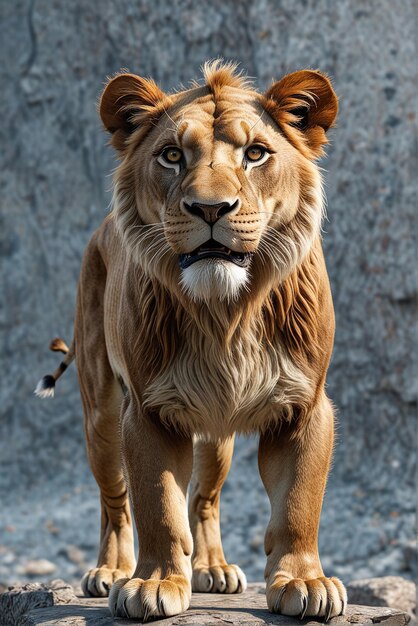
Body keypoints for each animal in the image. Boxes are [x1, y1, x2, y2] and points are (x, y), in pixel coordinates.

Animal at [35, 61, 346, 616]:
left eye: (255, 153)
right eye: (172, 155)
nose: (210, 208)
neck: (225, 313)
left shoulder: (305, 405)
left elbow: (298, 503)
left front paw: (304, 581)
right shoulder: (148, 410)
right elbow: (157, 504)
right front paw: (153, 583)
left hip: (217, 436)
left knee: (204, 498)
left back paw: (212, 569)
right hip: (102, 415)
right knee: (114, 501)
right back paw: (110, 570)